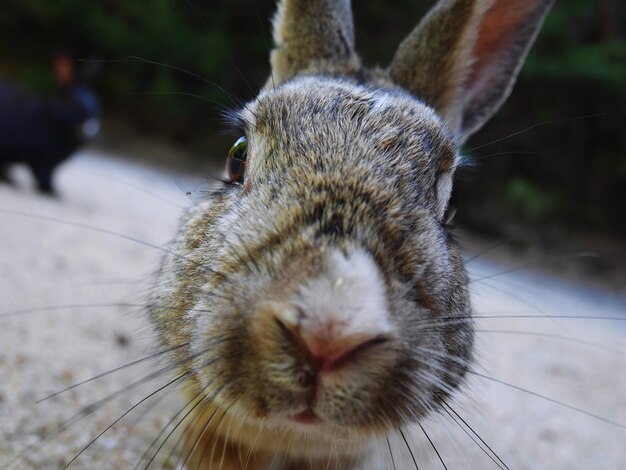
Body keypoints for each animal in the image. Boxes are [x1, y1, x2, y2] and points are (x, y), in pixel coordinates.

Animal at [0, 52, 99, 195]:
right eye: (73, 103)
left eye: (97, 103)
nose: (90, 129)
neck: (51, 118)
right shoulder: (42, 160)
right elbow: (44, 177)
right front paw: (54, 192)